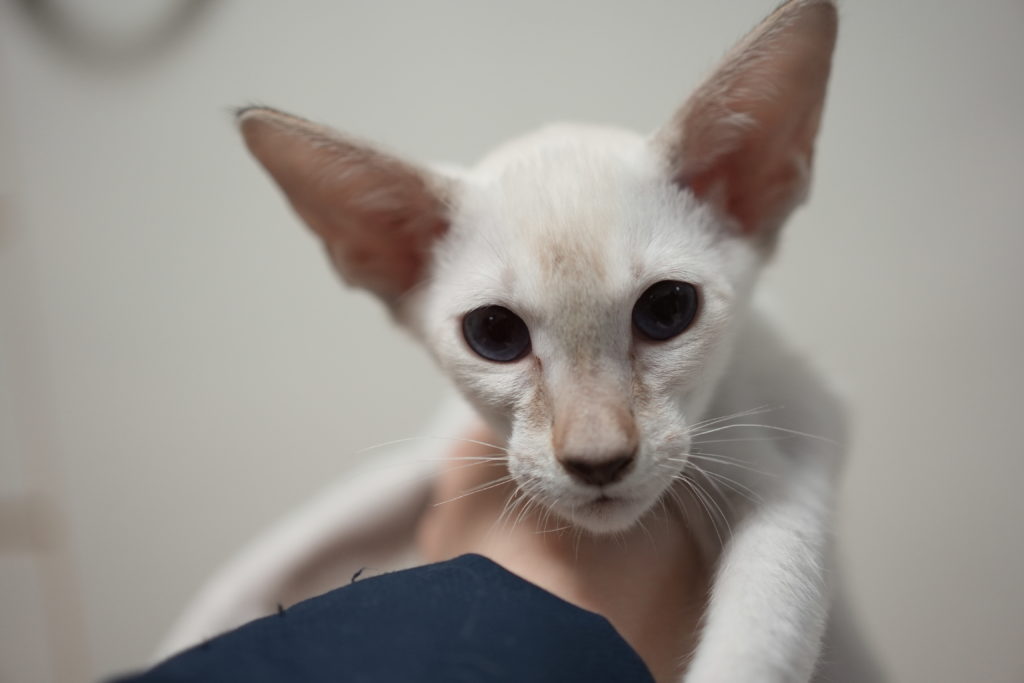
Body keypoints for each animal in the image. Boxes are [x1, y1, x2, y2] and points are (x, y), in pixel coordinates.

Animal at [159, 1, 882, 680]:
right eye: (495, 334)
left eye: (668, 309)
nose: (598, 461)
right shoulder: (441, 453)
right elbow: (293, 540)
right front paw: (184, 639)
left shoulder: (787, 462)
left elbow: (759, 639)